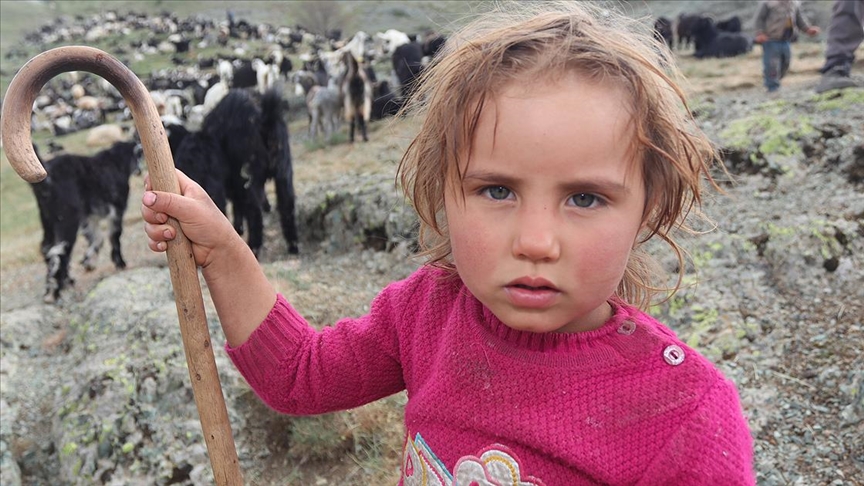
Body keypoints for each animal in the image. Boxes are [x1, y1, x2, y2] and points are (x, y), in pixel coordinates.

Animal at [30, 140, 139, 304]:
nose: (139, 171)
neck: (115, 162)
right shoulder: (117, 209)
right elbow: (114, 236)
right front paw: (120, 263)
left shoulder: (90, 217)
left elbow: (96, 238)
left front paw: (88, 263)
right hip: (67, 218)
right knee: (61, 249)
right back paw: (54, 292)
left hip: (48, 219)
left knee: (46, 247)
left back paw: (63, 283)